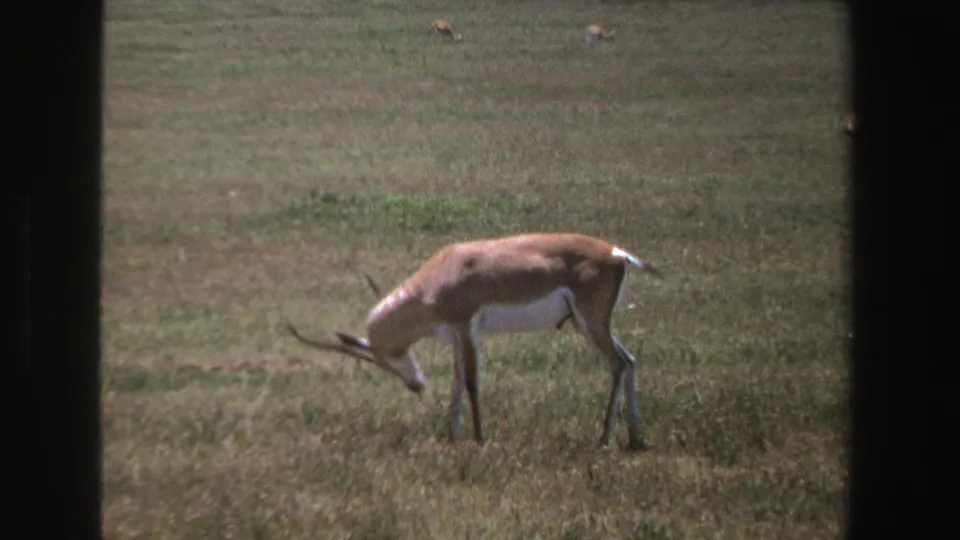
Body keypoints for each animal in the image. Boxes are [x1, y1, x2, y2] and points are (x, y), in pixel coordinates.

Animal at [286, 232, 665, 451]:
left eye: (385, 357)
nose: (415, 386)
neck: (441, 274)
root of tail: (617, 253)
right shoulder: (455, 335)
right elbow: (455, 384)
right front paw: (451, 438)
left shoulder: (467, 327)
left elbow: (470, 382)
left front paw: (480, 438)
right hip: (595, 325)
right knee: (630, 360)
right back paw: (635, 438)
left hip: (590, 323)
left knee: (618, 364)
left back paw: (603, 438)